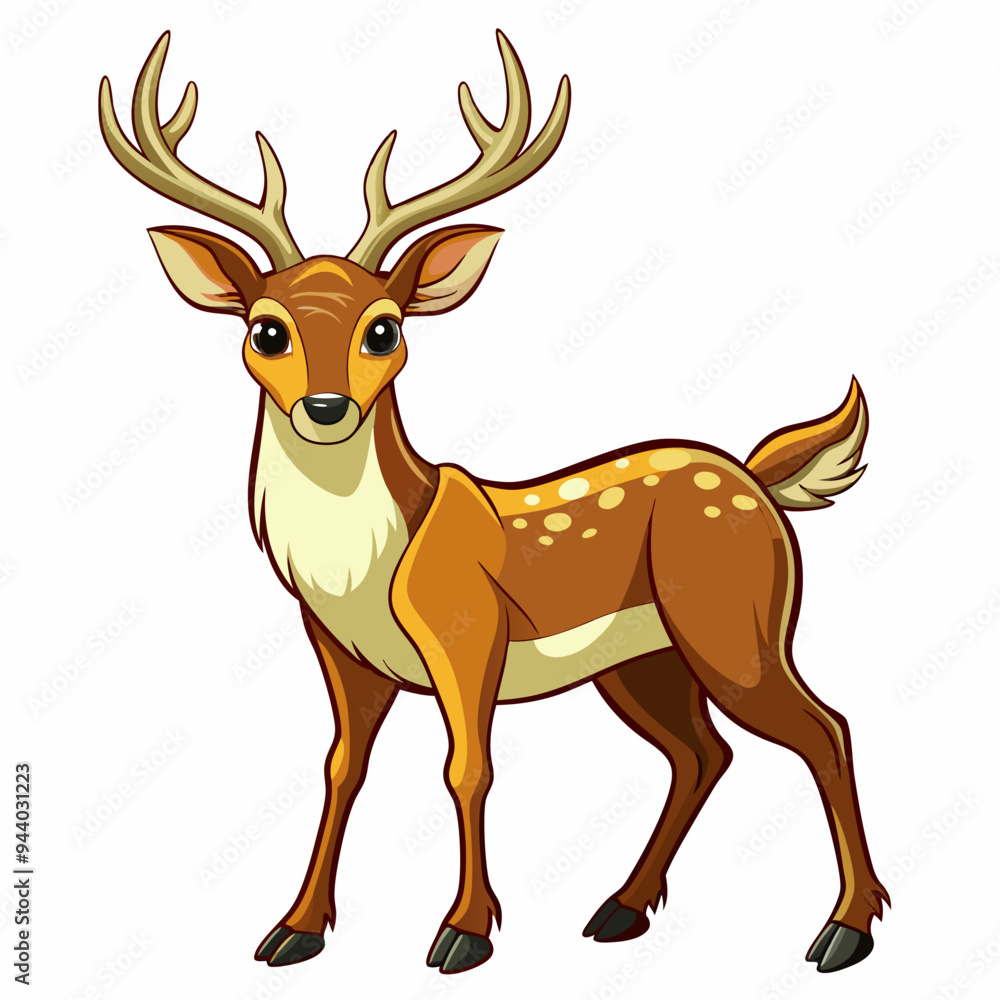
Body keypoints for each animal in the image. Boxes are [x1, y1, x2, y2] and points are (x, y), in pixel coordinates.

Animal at [98, 30, 888, 976]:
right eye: (266, 330)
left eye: (384, 328)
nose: (325, 409)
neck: (362, 573)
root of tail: (757, 481)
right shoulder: (340, 653)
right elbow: (340, 768)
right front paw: (294, 928)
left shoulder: (467, 628)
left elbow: (466, 767)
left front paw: (463, 932)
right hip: (641, 661)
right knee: (704, 752)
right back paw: (620, 910)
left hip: (734, 620)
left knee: (825, 728)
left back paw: (845, 930)